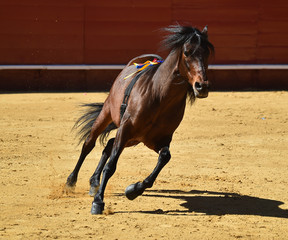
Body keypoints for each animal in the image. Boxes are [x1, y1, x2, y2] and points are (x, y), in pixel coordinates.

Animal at [65, 25, 214, 215]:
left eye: (207, 53)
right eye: (187, 52)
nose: (202, 86)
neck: (160, 96)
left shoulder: (157, 139)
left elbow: (165, 157)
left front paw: (133, 190)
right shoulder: (126, 129)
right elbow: (111, 165)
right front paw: (98, 202)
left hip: (134, 139)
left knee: (109, 144)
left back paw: (94, 182)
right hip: (107, 114)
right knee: (88, 144)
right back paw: (71, 182)